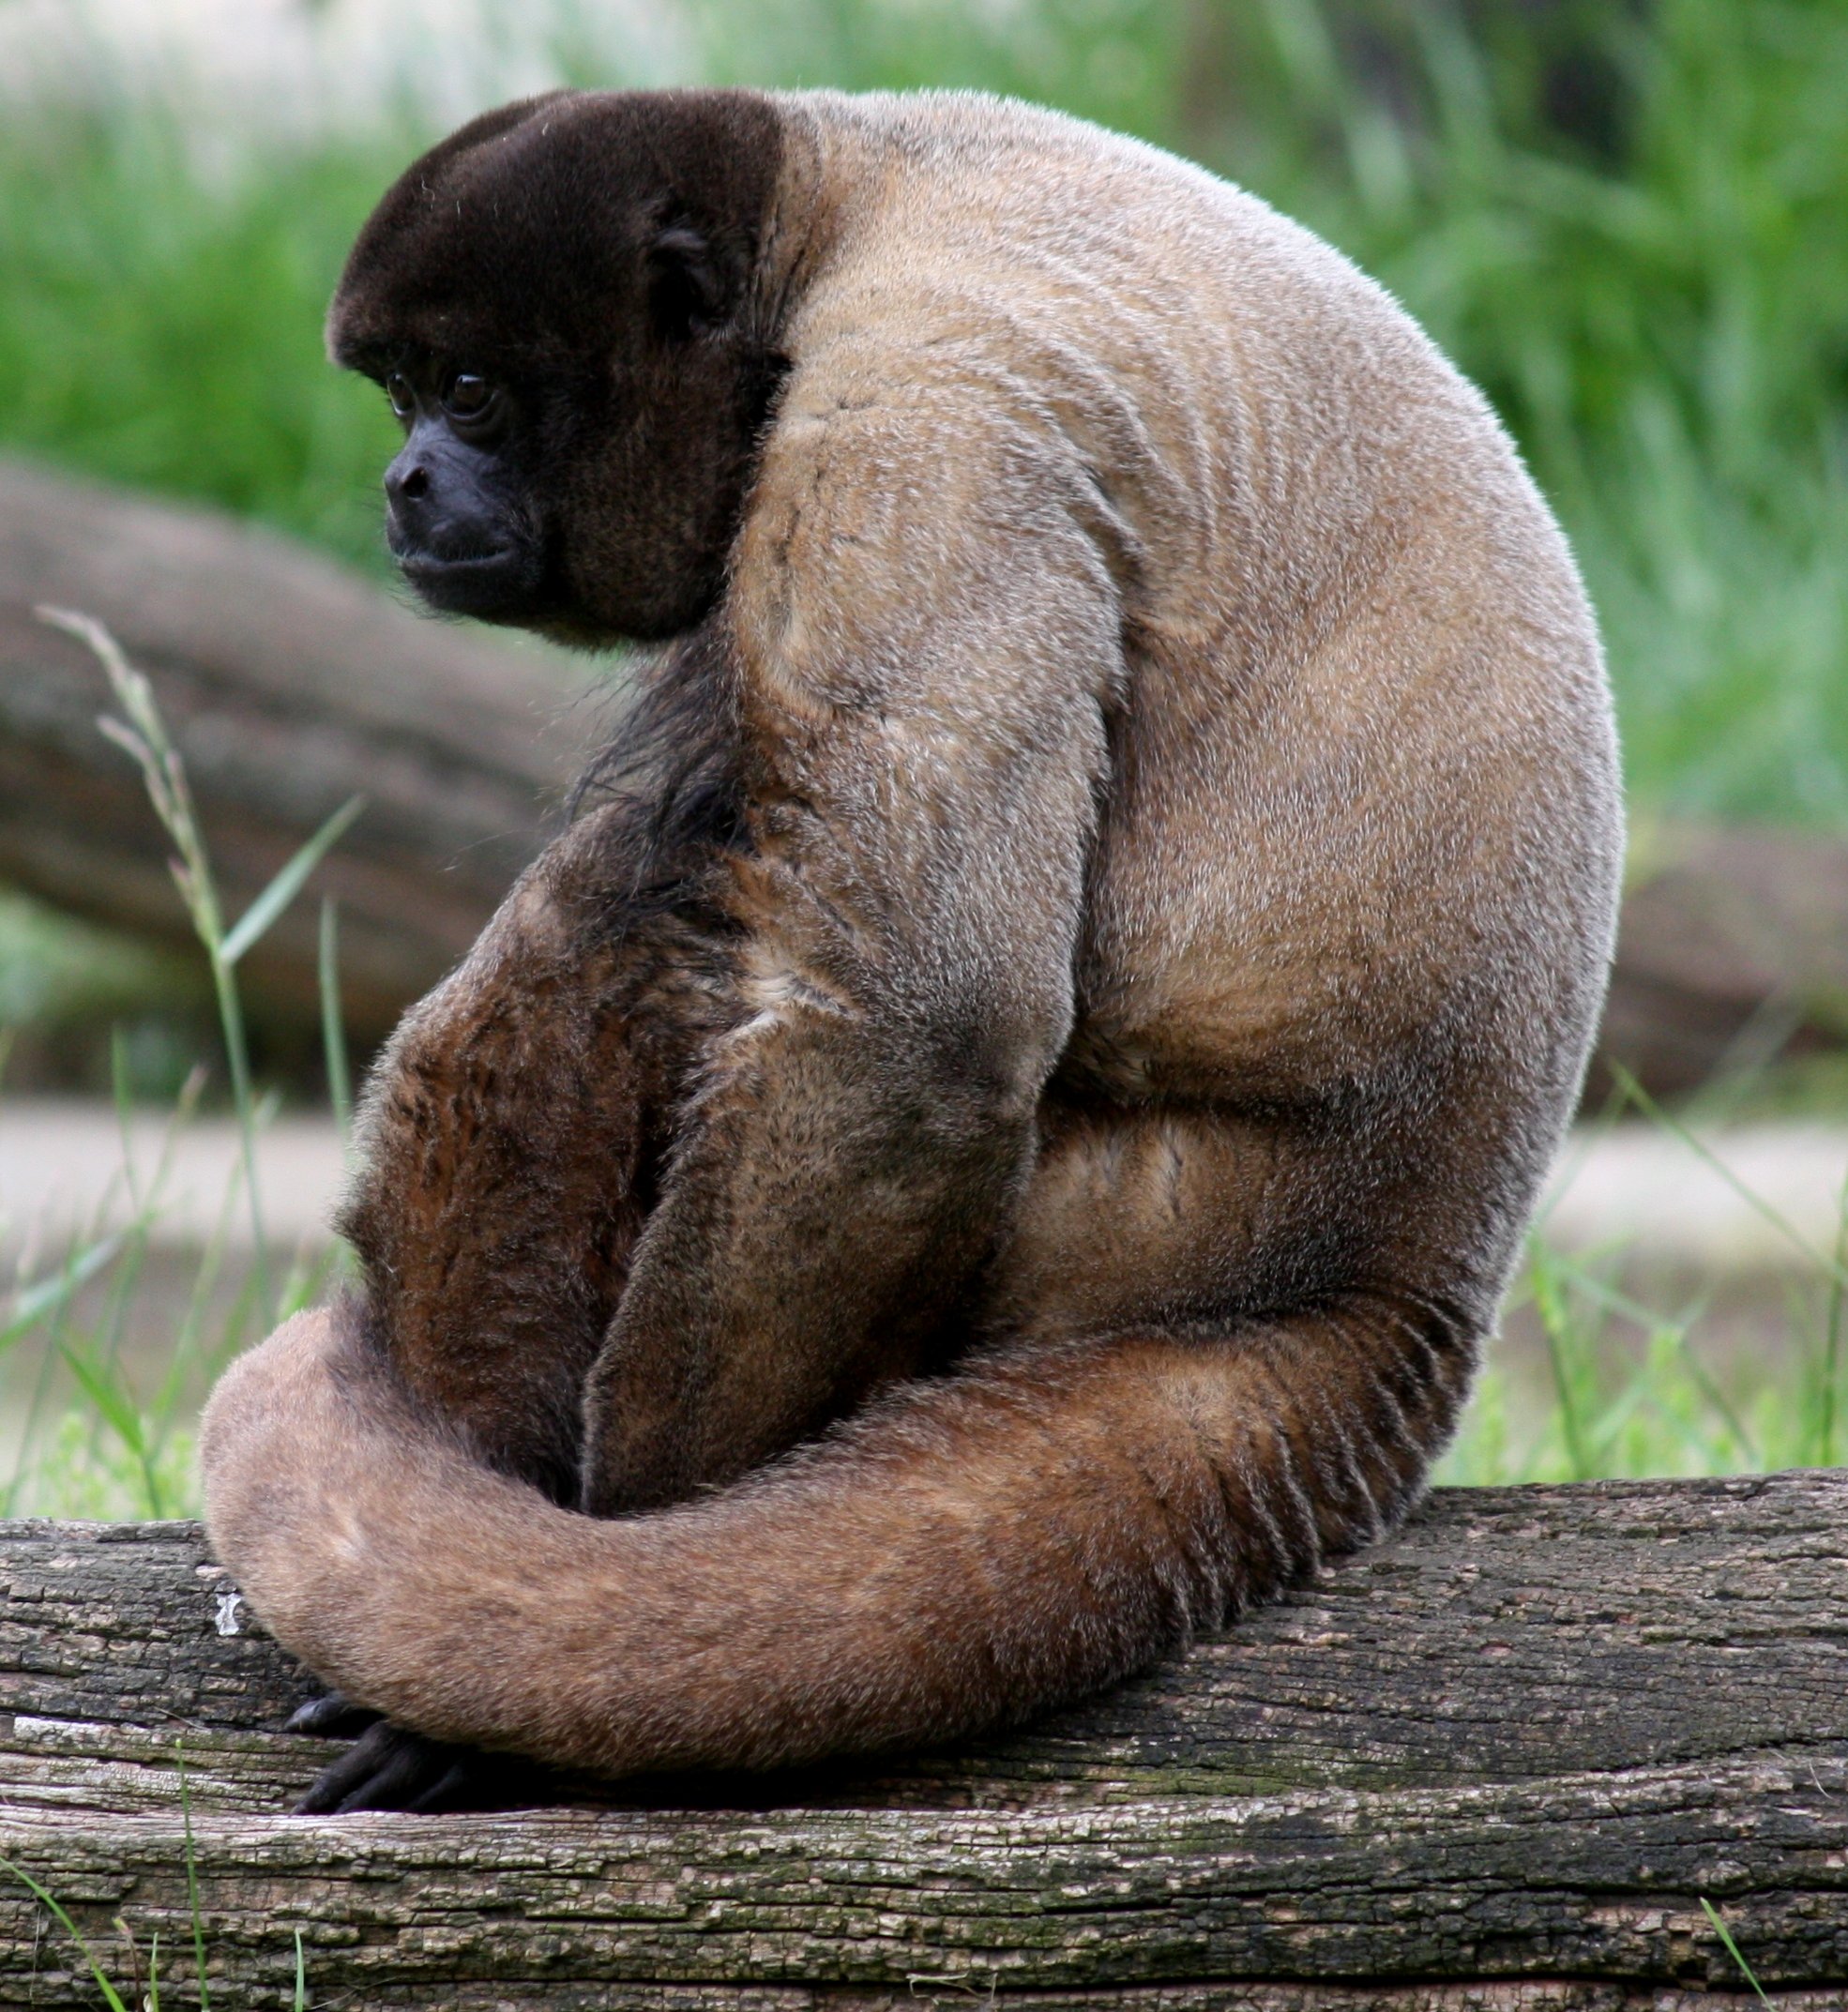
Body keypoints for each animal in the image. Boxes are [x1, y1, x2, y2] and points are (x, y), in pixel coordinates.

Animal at [199, 86, 1622, 1814]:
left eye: (466, 392)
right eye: (403, 396)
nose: (406, 478)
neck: (843, 194)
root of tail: (1405, 1286)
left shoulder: (916, 429)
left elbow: (919, 1039)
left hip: (1112, 1221)